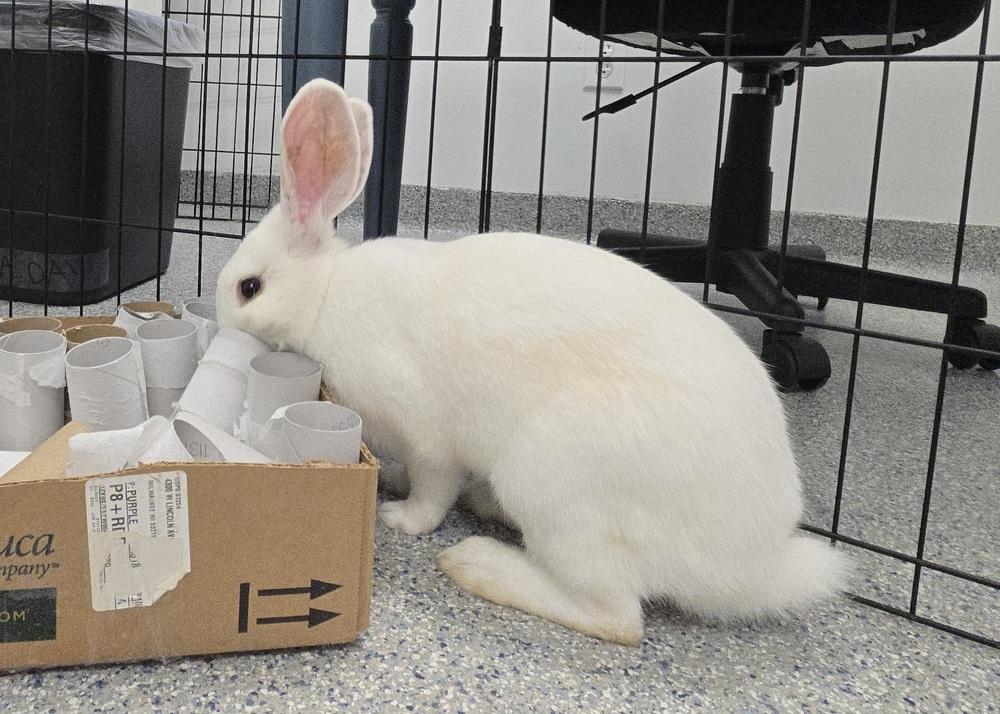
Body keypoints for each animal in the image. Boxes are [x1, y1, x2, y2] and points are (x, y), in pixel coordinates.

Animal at [216, 78, 849, 646]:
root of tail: (750, 570)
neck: (325, 296)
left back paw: (476, 563)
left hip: (555, 481)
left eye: (250, 287)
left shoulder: (429, 436)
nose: (221, 322)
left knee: (617, 617)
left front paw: (400, 519)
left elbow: (432, 489)